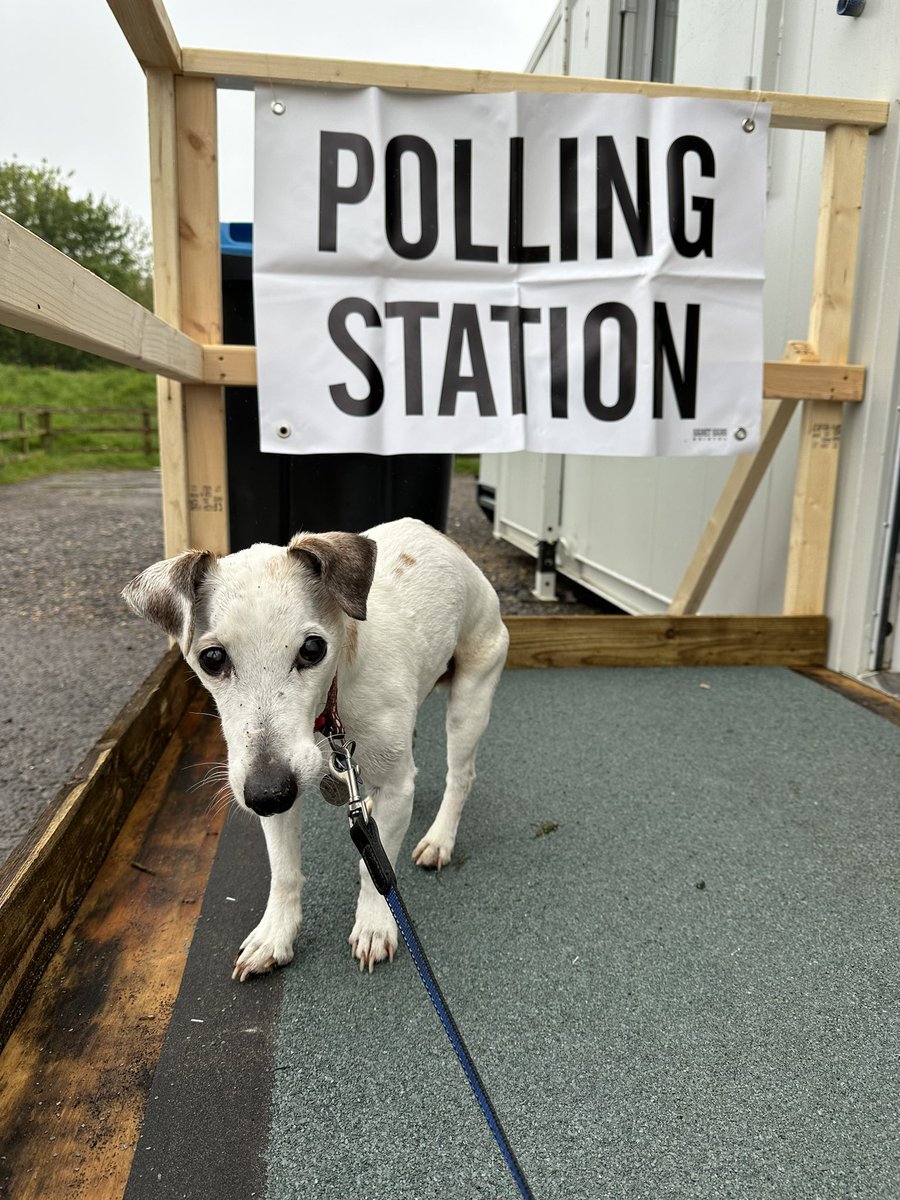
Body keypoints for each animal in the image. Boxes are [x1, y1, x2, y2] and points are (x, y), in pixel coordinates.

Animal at [123, 516, 508, 974]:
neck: (328, 716)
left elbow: (375, 871)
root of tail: (442, 538)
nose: (268, 794)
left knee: (460, 776)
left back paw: (440, 839)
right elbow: (285, 871)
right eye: (212, 659)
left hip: (472, 696)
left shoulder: (397, 785)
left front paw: (375, 925)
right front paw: (275, 935)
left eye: (312, 648)